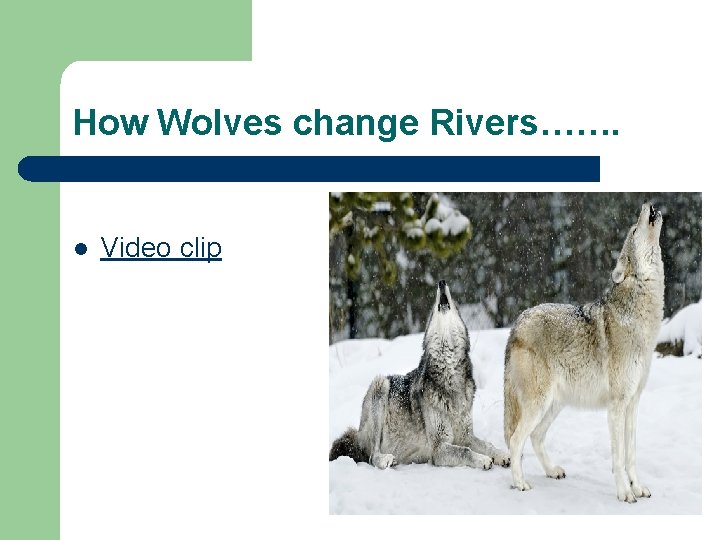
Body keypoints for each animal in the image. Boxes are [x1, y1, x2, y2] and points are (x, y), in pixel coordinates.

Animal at [330, 280, 510, 470]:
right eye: (432, 311)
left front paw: (502, 455)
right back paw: (386, 459)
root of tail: (357, 435)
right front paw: (484, 459)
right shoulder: (439, 449)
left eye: (455, 305)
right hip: (380, 384)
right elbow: (465, 451)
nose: (441, 282)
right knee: (372, 456)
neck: (450, 372)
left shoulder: (465, 436)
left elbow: (487, 444)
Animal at [504, 203, 664, 502]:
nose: (647, 205)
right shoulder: (616, 405)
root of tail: (518, 323)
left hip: (554, 404)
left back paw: (552, 471)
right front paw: (625, 493)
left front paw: (637, 487)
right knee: (516, 440)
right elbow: (618, 458)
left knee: (535, 437)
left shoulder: (633, 403)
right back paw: (520, 483)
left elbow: (631, 454)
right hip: (539, 404)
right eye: (634, 230)